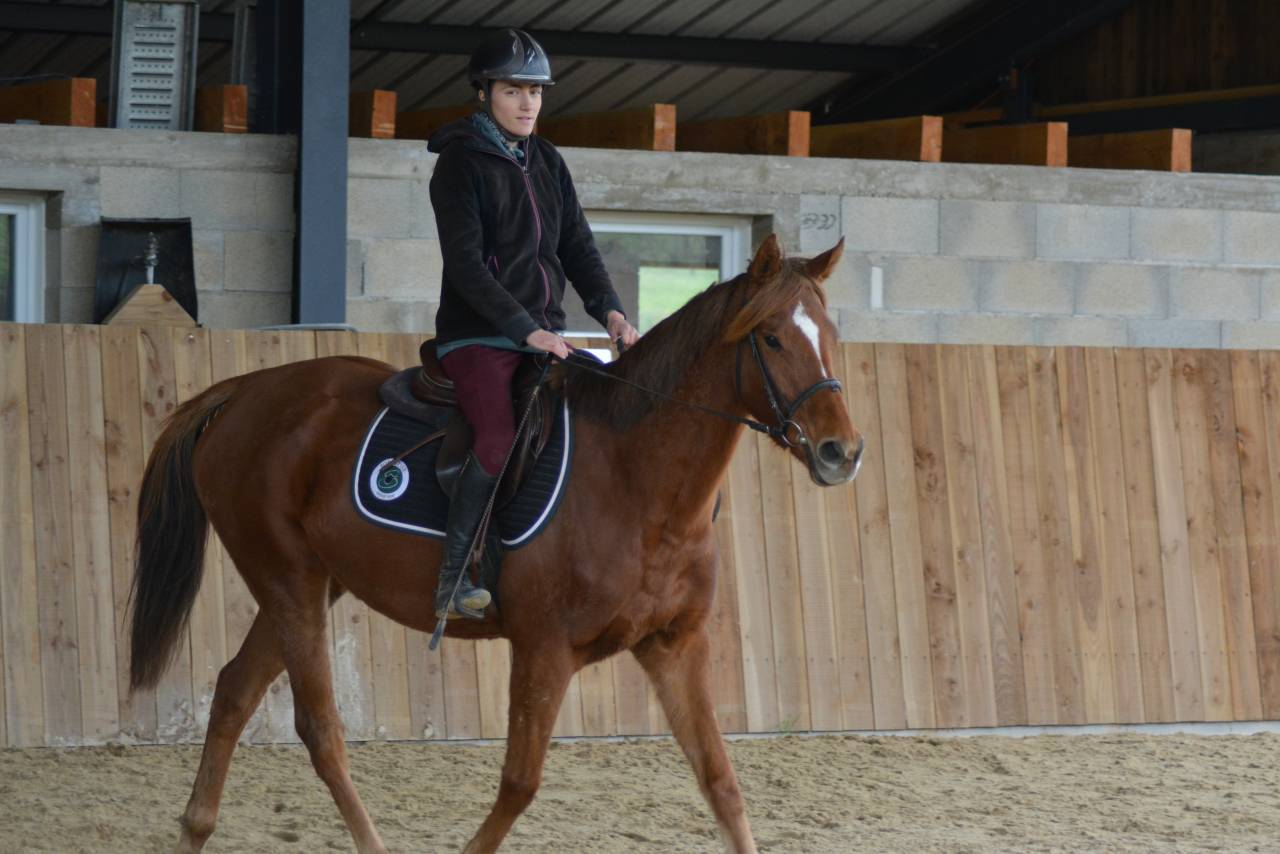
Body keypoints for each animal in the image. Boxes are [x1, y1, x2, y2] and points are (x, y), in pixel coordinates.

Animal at [128, 233, 863, 854]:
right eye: (770, 339)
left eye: (830, 335)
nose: (842, 453)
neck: (638, 483)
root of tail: (243, 391)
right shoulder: (544, 649)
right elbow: (519, 784)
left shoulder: (673, 648)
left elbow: (721, 782)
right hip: (289, 580)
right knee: (320, 730)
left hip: (307, 584)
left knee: (233, 692)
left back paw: (195, 829)